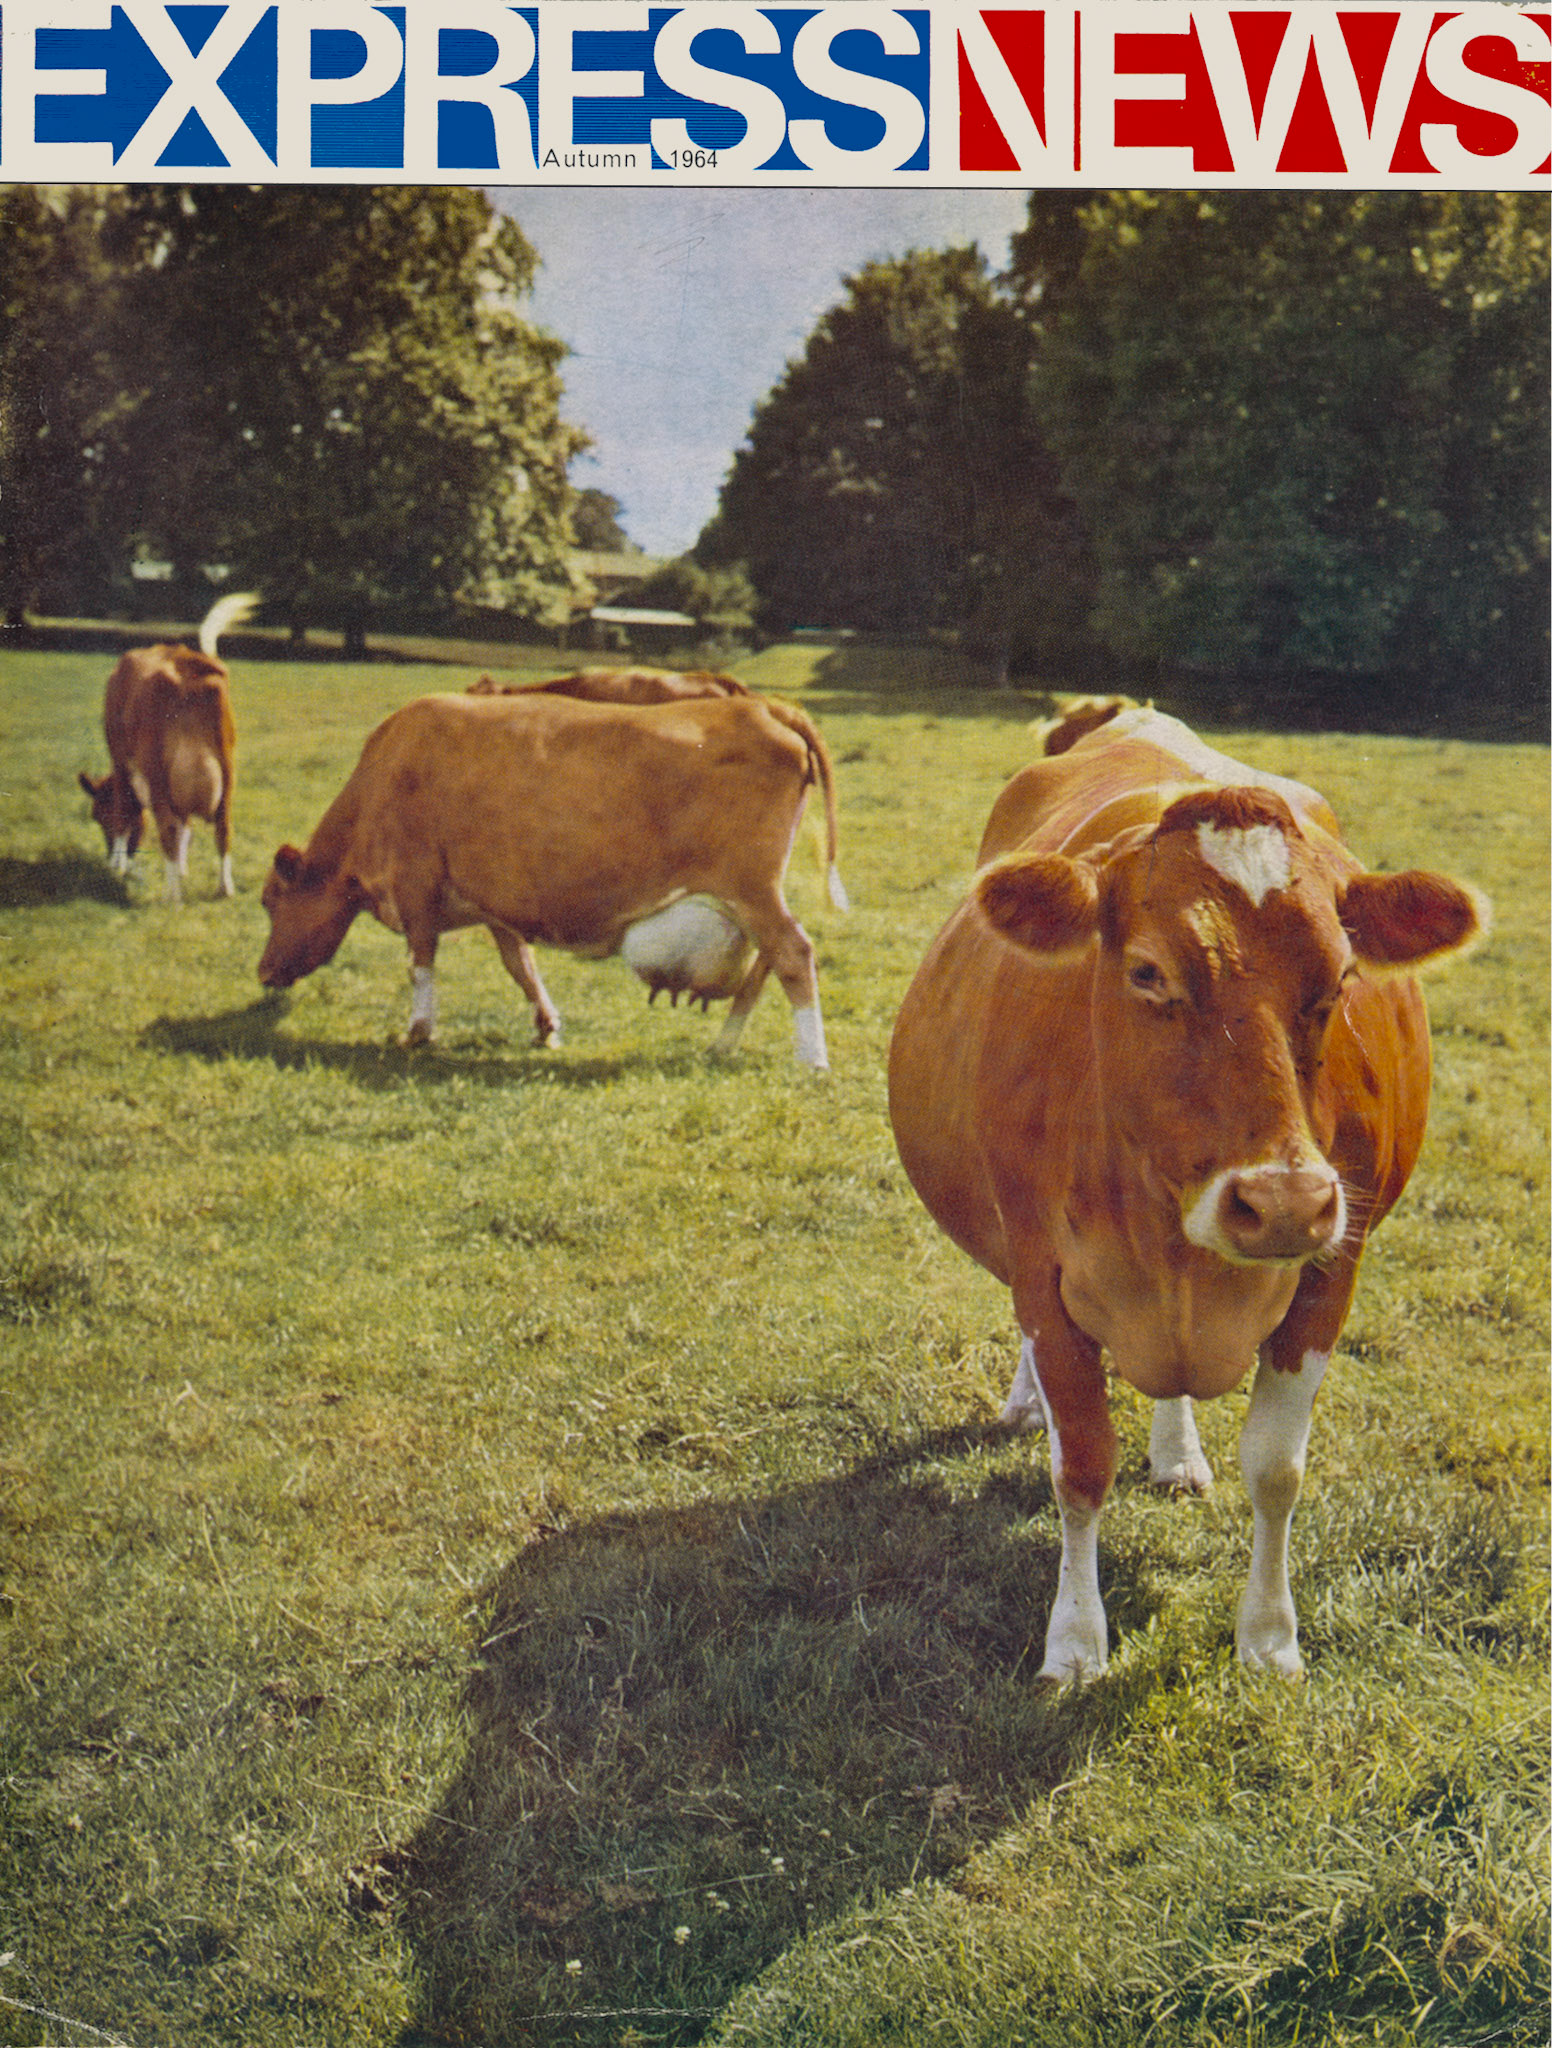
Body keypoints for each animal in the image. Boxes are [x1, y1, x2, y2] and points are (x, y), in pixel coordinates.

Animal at [78, 591, 258, 902]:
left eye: (98, 817)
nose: (106, 856)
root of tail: (189, 663)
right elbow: (186, 826)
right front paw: (182, 870)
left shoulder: (120, 761)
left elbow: (124, 812)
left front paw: (118, 867)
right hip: (228, 766)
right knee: (223, 827)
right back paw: (224, 888)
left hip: (157, 770)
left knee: (170, 828)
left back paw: (171, 897)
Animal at [257, 688, 848, 1068]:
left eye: (269, 900)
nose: (262, 972)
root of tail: (763, 705)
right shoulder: (495, 903)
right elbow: (519, 964)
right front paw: (547, 1026)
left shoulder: (415, 883)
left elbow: (421, 963)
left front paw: (418, 1032)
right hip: (751, 897)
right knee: (770, 958)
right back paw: (722, 1045)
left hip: (751, 888)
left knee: (793, 952)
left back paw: (812, 1059)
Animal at [888, 701, 1488, 1683]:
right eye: (1147, 972)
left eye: (1341, 978)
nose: (1283, 1202)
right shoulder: (1044, 1275)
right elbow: (1080, 1463)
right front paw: (1076, 1640)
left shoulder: (1332, 1272)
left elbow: (1277, 1468)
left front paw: (1270, 1638)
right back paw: (1026, 1403)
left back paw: (1175, 1454)